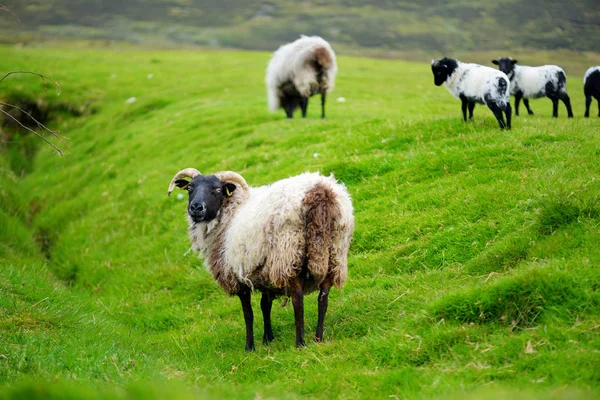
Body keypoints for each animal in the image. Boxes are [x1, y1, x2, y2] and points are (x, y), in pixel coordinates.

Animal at [166, 167, 354, 348]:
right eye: (190, 188)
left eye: (217, 189)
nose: (196, 208)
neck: (229, 212)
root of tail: (320, 192)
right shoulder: (263, 272)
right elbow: (265, 306)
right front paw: (268, 339)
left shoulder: (238, 276)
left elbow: (248, 314)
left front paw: (250, 346)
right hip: (334, 255)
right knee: (323, 298)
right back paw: (318, 338)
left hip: (288, 256)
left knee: (298, 300)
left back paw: (300, 343)